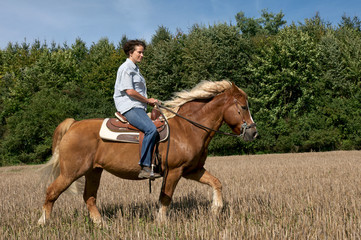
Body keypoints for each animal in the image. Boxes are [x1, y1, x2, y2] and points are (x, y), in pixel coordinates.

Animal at [37, 80, 256, 225]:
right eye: (243, 107)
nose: (254, 132)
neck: (188, 129)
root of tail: (73, 125)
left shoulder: (193, 170)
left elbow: (216, 182)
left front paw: (216, 209)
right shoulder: (174, 171)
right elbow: (165, 197)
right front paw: (161, 222)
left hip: (93, 171)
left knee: (89, 198)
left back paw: (101, 224)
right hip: (71, 172)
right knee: (52, 192)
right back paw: (43, 222)